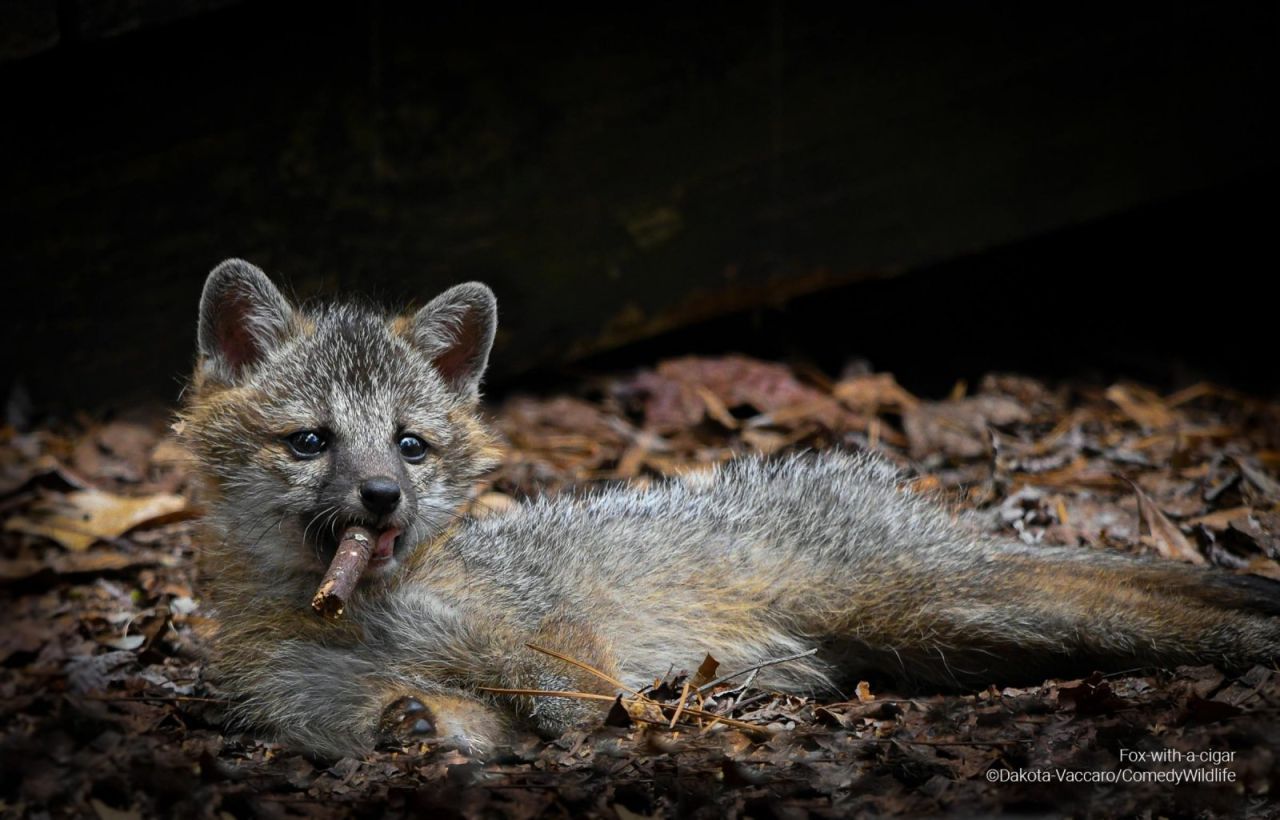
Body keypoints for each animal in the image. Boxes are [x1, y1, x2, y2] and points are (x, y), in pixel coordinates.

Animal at [183, 258, 1280, 757]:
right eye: (312, 442)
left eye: (409, 445)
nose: (382, 495)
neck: (364, 615)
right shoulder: (342, 709)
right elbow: (429, 720)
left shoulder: (546, 634)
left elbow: (576, 698)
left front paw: (629, 722)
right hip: (941, 638)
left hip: (940, 607)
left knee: (1148, 607)